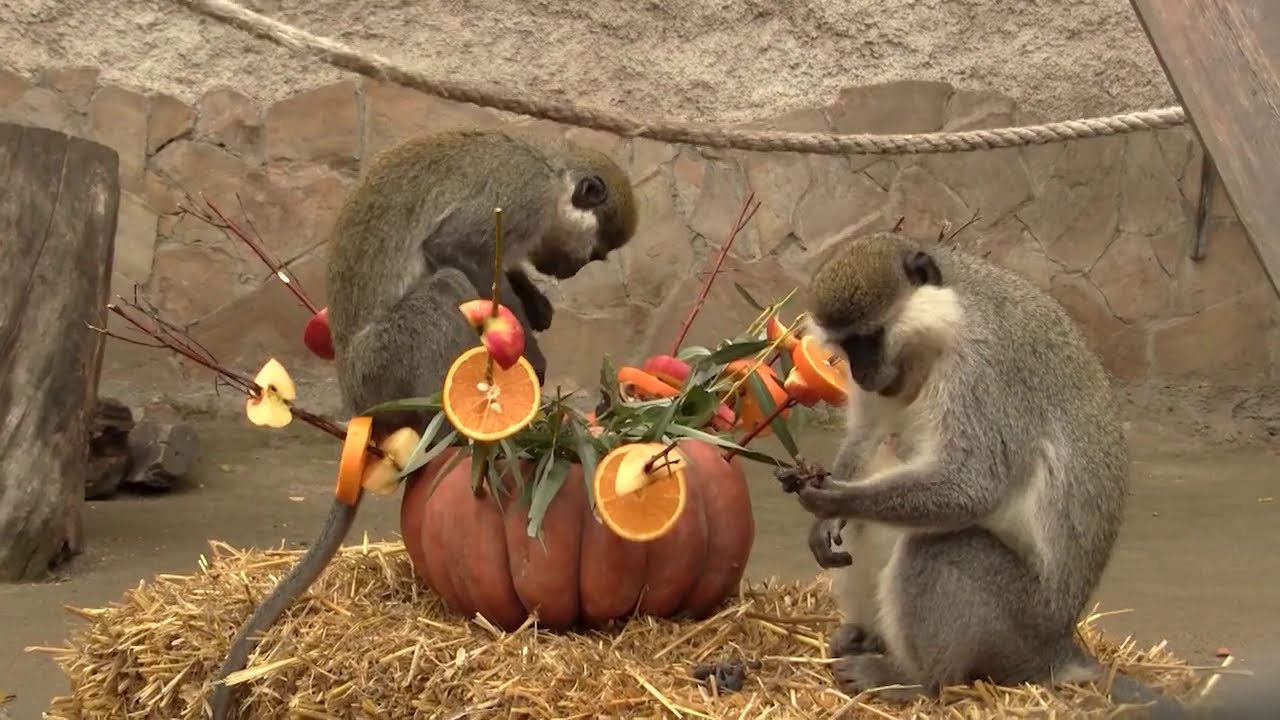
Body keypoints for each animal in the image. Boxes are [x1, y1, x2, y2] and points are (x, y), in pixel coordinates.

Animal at [209, 127, 637, 720]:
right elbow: (451, 250)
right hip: (388, 363)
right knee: (445, 287)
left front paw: (533, 301)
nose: (573, 270)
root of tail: (357, 400)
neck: (552, 172)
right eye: (595, 252)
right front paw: (529, 344)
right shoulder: (521, 195)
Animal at [775, 231, 1185, 717]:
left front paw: (834, 499)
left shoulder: (985, 364)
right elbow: (867, 436)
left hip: (1016, 623)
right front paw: (825, 518)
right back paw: (864, 637)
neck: (942, 328)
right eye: (845, 346)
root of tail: (1056, 646)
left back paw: (916, 679)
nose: (861, 372)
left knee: (937, 550)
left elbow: (973, 485)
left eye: (870, 337)